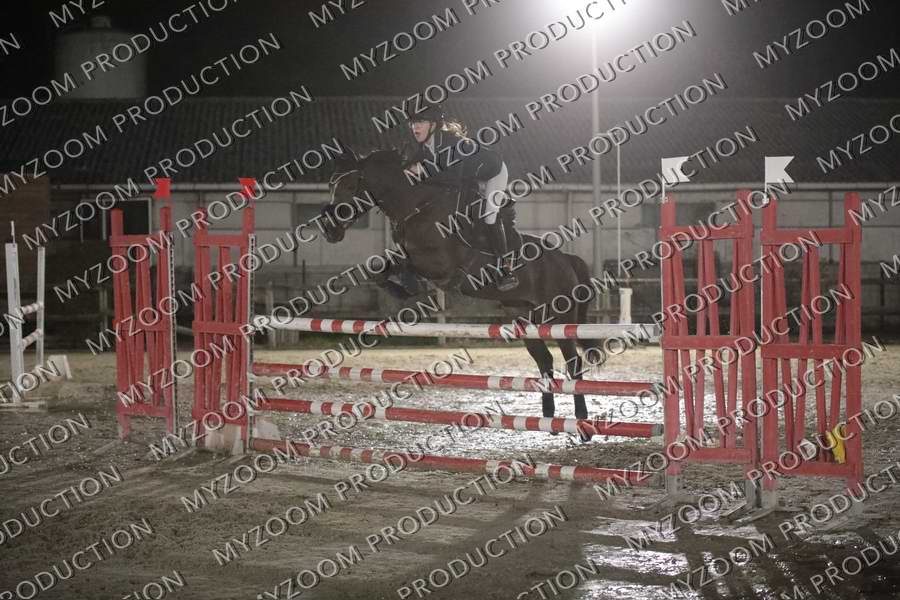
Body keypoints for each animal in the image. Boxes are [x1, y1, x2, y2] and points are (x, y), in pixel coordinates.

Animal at [319, 148, 604, 422]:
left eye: (349, 185)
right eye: (331, 185)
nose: (330, 231)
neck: (416, 207)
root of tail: (566, 259)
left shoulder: (440, 265)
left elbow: (408, 266)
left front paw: (409, 287)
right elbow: (379, 269)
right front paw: (400, 289)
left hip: (559, 317)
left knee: (573, 362)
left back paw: (581, 418)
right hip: (524, 316)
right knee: (544, 359)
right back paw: (548, 415)